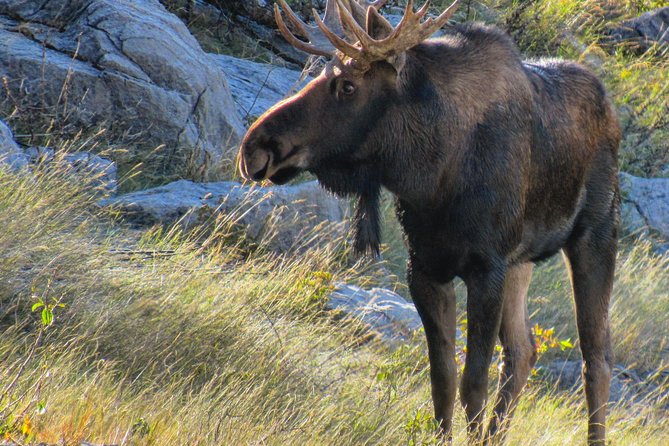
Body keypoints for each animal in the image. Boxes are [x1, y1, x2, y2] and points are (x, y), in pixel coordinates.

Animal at [236, 0, 620, 442]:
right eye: (318, 73)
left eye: (348, 86)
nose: (254, 145)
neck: (430, 172)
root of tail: (610, 110)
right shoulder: (424, 267)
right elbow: (443, 381)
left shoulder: (485, 268)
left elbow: (473, 384)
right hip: (521, 261)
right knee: (523, 351)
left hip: (596, 235)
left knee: (597, 360)